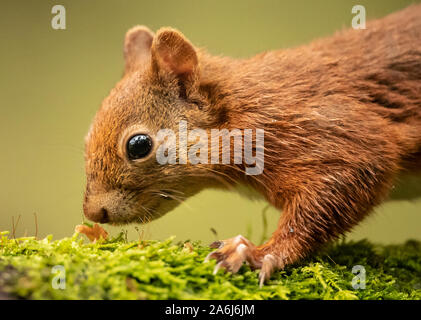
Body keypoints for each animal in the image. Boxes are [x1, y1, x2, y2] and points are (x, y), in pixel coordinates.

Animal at [83, 5, 420, 284]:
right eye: (87, 137)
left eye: (139, 145)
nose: (93, 212)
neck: (244, 108)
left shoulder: (334, 131)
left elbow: (346, 181)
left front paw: (256, 253)